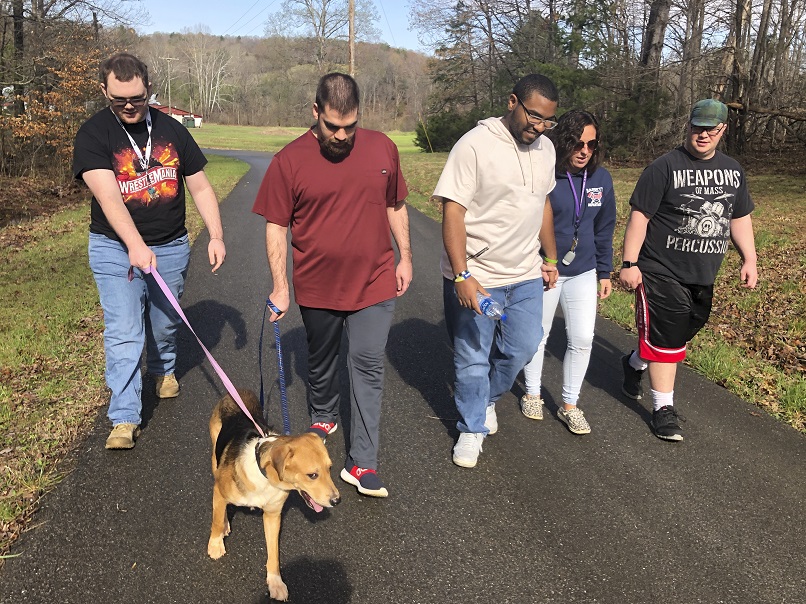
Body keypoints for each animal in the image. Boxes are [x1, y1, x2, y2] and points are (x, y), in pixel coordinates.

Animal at [208, 390, 340, 600]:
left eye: (330, 469)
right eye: (312, 475)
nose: (337, 500)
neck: (265, 477)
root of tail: (239, 391)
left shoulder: (273, 515)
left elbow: (274, 553)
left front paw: (275, 582)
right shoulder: (219, 491)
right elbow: (216, 521)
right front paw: (215, 545)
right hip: (215, 458)